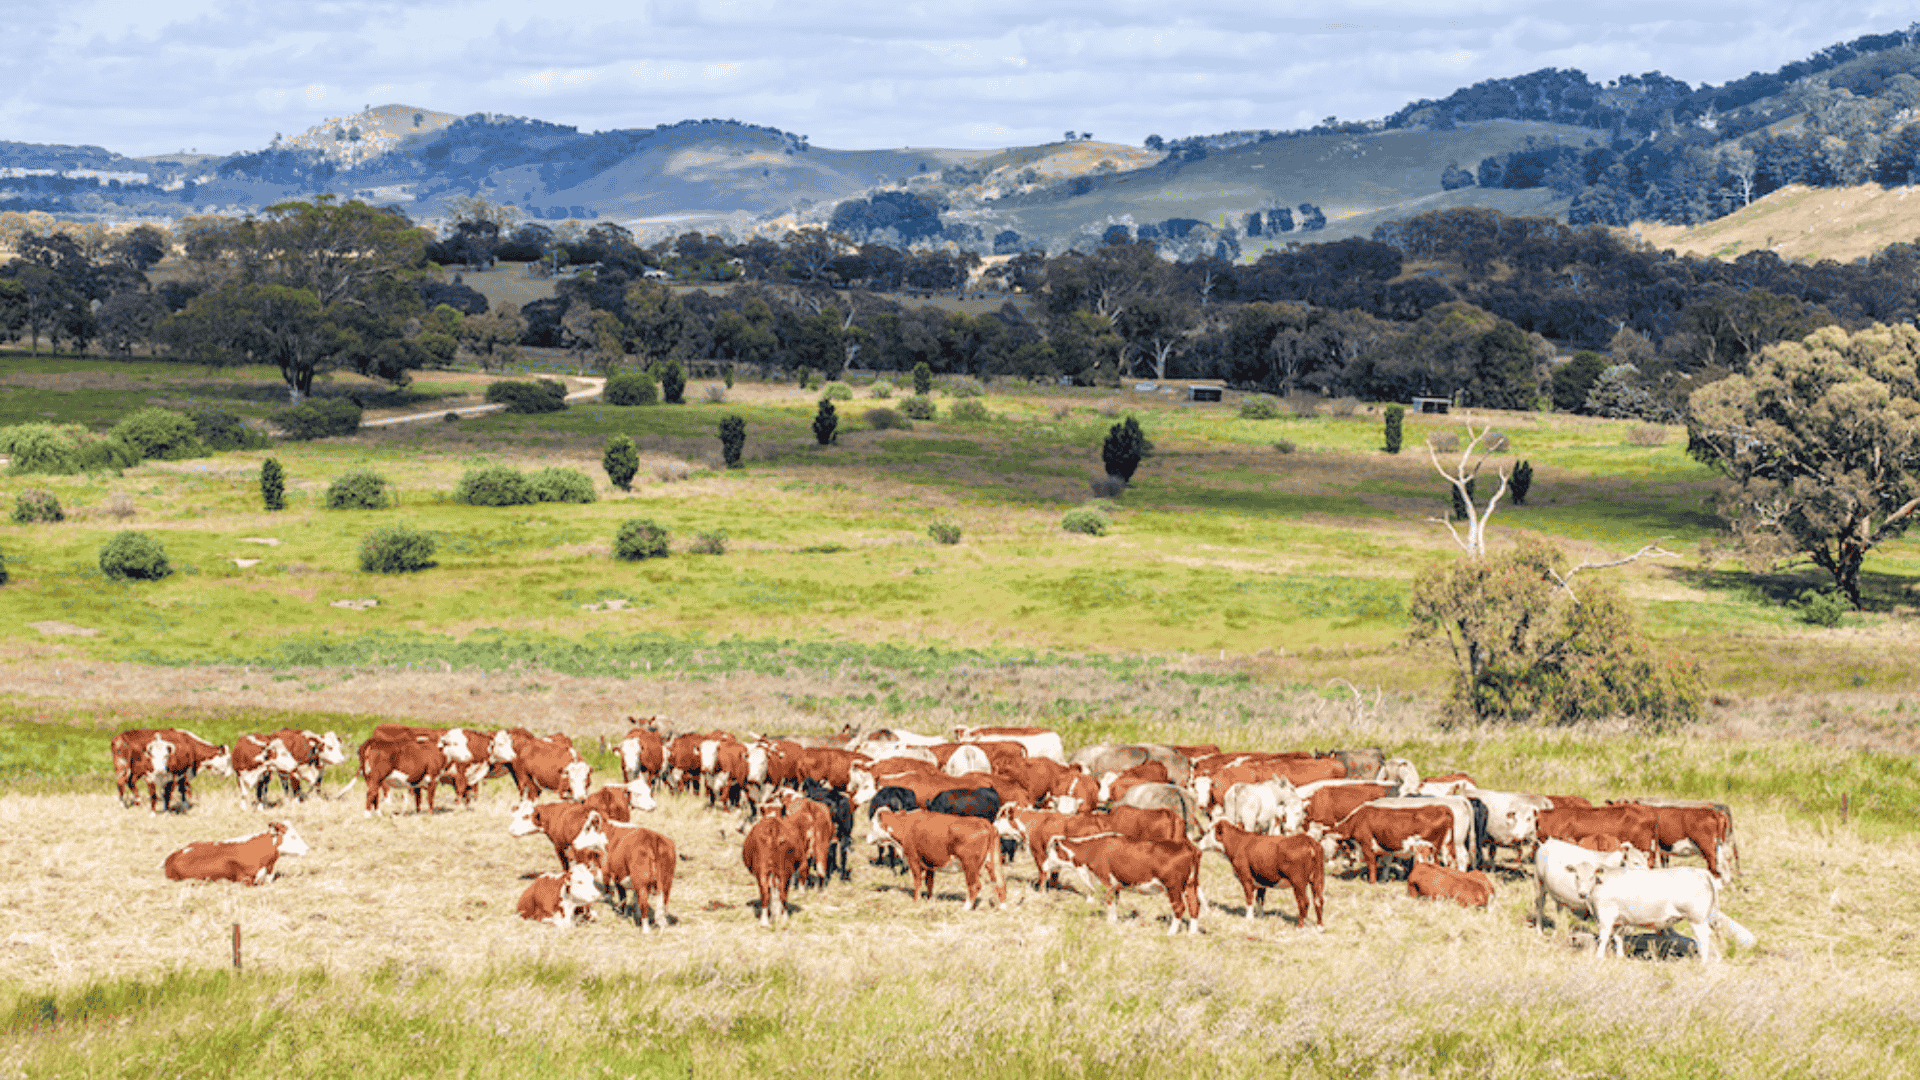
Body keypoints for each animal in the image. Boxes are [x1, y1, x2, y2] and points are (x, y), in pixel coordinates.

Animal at [866, 809, 1007, 910]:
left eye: (872, 824)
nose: (867, 839)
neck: (906, 826)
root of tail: (985, 823)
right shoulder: (929, 862)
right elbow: (929, 882)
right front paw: (930, 900)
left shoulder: (913, 859)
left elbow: (918, 882)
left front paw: (916, 901)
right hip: (992, 861)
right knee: (1000, 882)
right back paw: (1002, 907)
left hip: (970, 865)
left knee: (975, 885)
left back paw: (966, 907)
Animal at [1041, 833, 1203, 934]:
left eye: (1049, 853)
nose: (1043, 866)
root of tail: (1188, 845)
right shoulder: (1115, 885)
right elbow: (1115, 904)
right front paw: (1115, 921)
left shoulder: (1106, 883)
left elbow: (1109, 903)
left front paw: (1109, 923)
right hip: (1191, 884)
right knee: (1194, 905)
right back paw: (1192, 933)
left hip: (1173, 886)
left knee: (1180, 907)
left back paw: (1171, 932)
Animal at [1575, 865, 1757, 963]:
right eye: (1576, 876)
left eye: (1591, 876)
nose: (1582, 893)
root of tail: (1701, 872)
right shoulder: (1620, 919)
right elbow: (1618, 937)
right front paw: (1620, 957)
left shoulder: (1606, 916)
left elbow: (1604, 936)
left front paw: (1599, 957)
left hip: (1696, 918)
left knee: (1703, 938)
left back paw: (1703, 961)